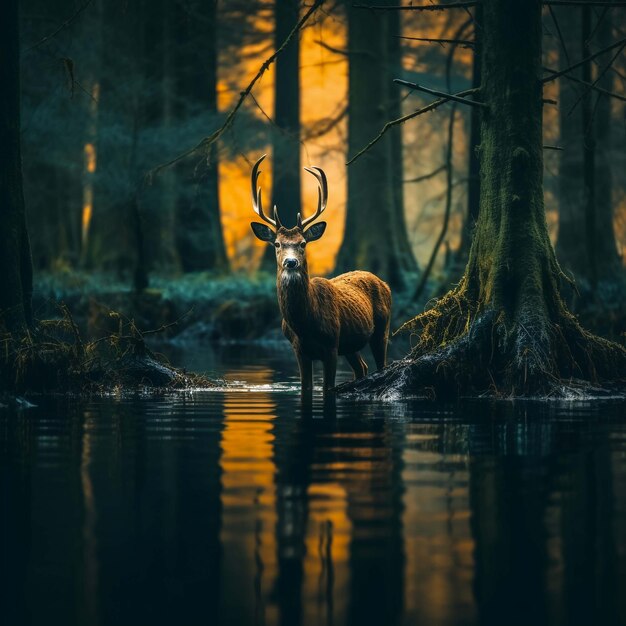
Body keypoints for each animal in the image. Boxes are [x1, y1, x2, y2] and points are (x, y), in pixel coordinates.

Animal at [249, 155, 390, 400]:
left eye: (303, 243)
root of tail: (384, 283)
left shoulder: (331, 344)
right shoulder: (299, 350)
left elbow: (327, 388)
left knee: (381, 364)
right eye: (277, 244)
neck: (305, 324)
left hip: (382, 327)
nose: (291, 262)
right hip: (350, 342)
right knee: (362, 368)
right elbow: (305, 387)